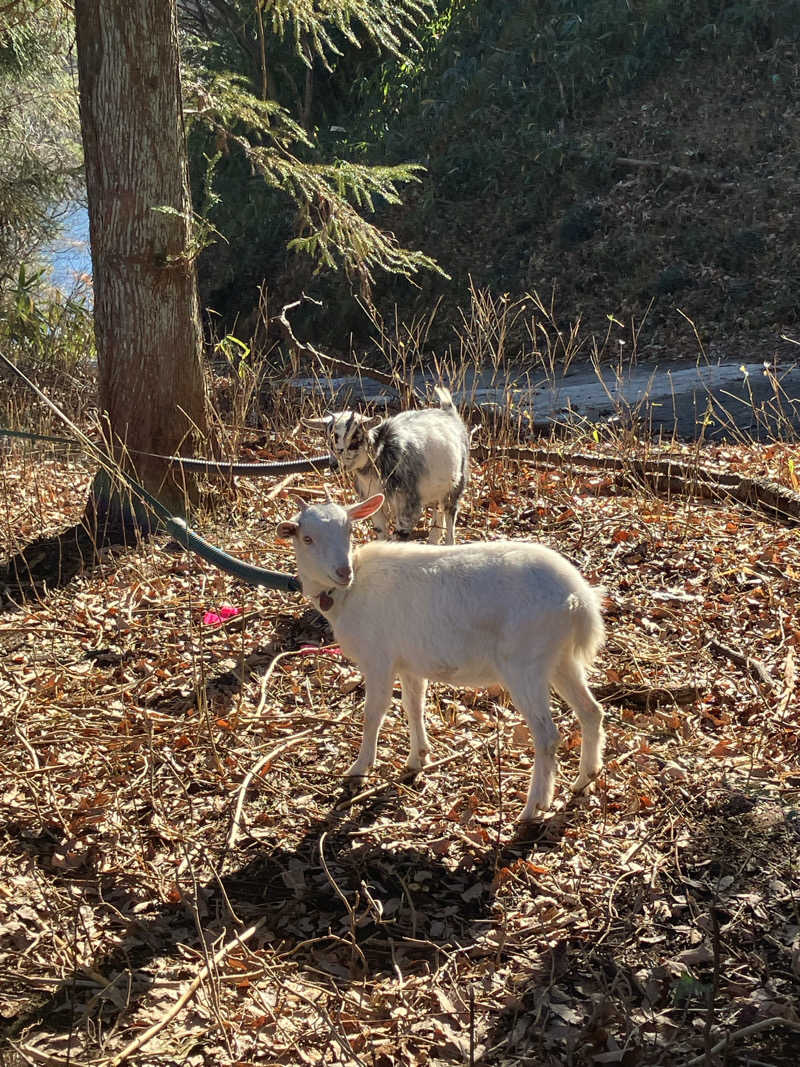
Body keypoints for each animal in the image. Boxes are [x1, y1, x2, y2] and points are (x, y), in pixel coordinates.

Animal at [279, 495, 605, 819]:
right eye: (307, 538)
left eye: (348, 530)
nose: (343, 572)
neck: (350, 594)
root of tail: (579, 598)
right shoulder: (408, 662)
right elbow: (413, 706)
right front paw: (417, 759)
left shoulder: (378, 659)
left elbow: (374, 713)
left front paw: (359, 771)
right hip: (560, 658)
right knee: (591, 711)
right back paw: (584, 780)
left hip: (525, 662)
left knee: (547, 735)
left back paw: (533, 807)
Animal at [302, 386, 469, 542]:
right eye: (329, 443)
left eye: (354, 443)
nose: (334, 465)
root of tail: (448, 413)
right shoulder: (375, 505)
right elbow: (381, 534)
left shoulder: (408, 507)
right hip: (436, 489)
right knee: (437, 513)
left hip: (456, 484)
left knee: (450, 515)